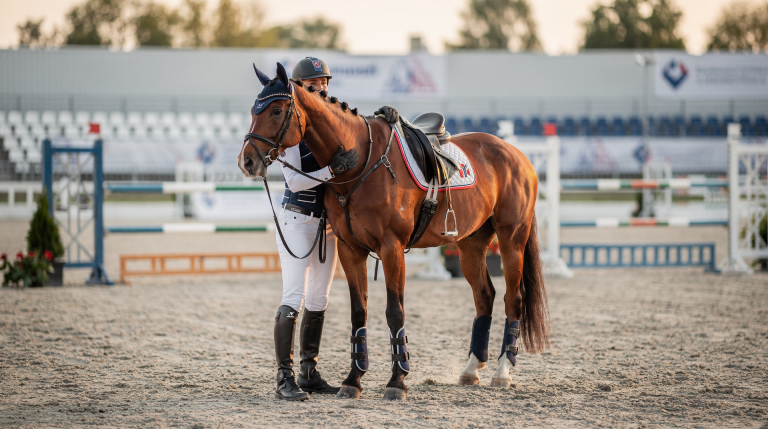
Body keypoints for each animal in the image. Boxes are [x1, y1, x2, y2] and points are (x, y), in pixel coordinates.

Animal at [239, 63, 549, 401]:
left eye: (277, 110)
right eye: (253, 110)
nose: (247, 161)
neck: (361, 162)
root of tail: (516, 153)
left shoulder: (392, 248)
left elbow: (394, 312)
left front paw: (397, 381)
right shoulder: (350, 249)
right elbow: (358, 312)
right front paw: (353, 380)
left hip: (511, 239)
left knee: (513, 299)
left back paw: (502, 372)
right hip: (470, 244)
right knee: (484, 296)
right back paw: (471, 369)